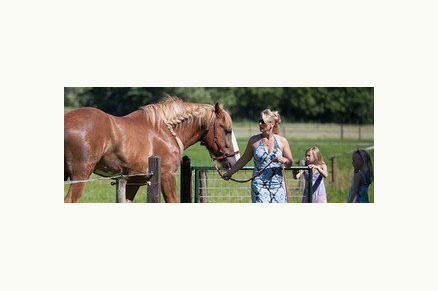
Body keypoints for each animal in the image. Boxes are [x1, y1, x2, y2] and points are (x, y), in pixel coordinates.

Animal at [64, 97, 240, 204]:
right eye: (227, 130)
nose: (233, 161)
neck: (165, 131)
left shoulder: (134, 180)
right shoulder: (167, 176)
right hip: (79, 177)